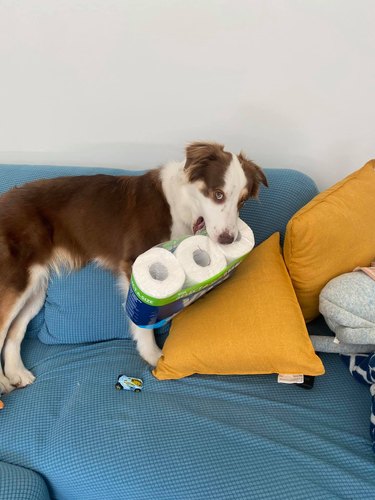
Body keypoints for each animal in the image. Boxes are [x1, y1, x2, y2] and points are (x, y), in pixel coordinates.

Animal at [0, 142, 270, 394]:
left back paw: (17, 373)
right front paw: (153, 355)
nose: (228, 239)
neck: (180, 204)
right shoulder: (135, 262)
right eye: (218, 194)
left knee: (14, 331)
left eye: (242, 201)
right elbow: (143, 322)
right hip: (17, 280)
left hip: (35, 285)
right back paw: (4, 382)